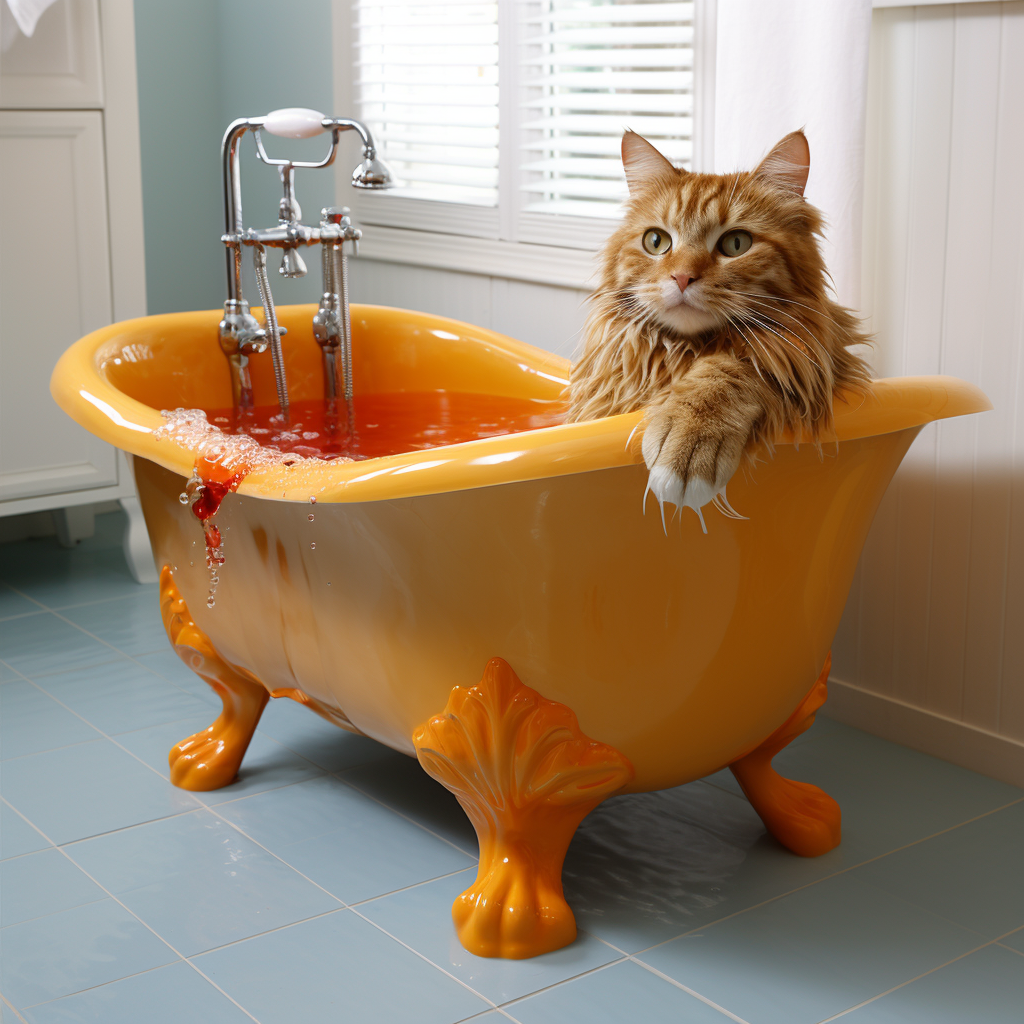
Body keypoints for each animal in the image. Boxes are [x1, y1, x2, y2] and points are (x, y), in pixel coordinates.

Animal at [569, 130, 872, 528]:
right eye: (656, 241)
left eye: (736, 243)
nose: (682, 277)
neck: (682, 352)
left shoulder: (805, 355)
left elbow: (732, 367)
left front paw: (690, 435)